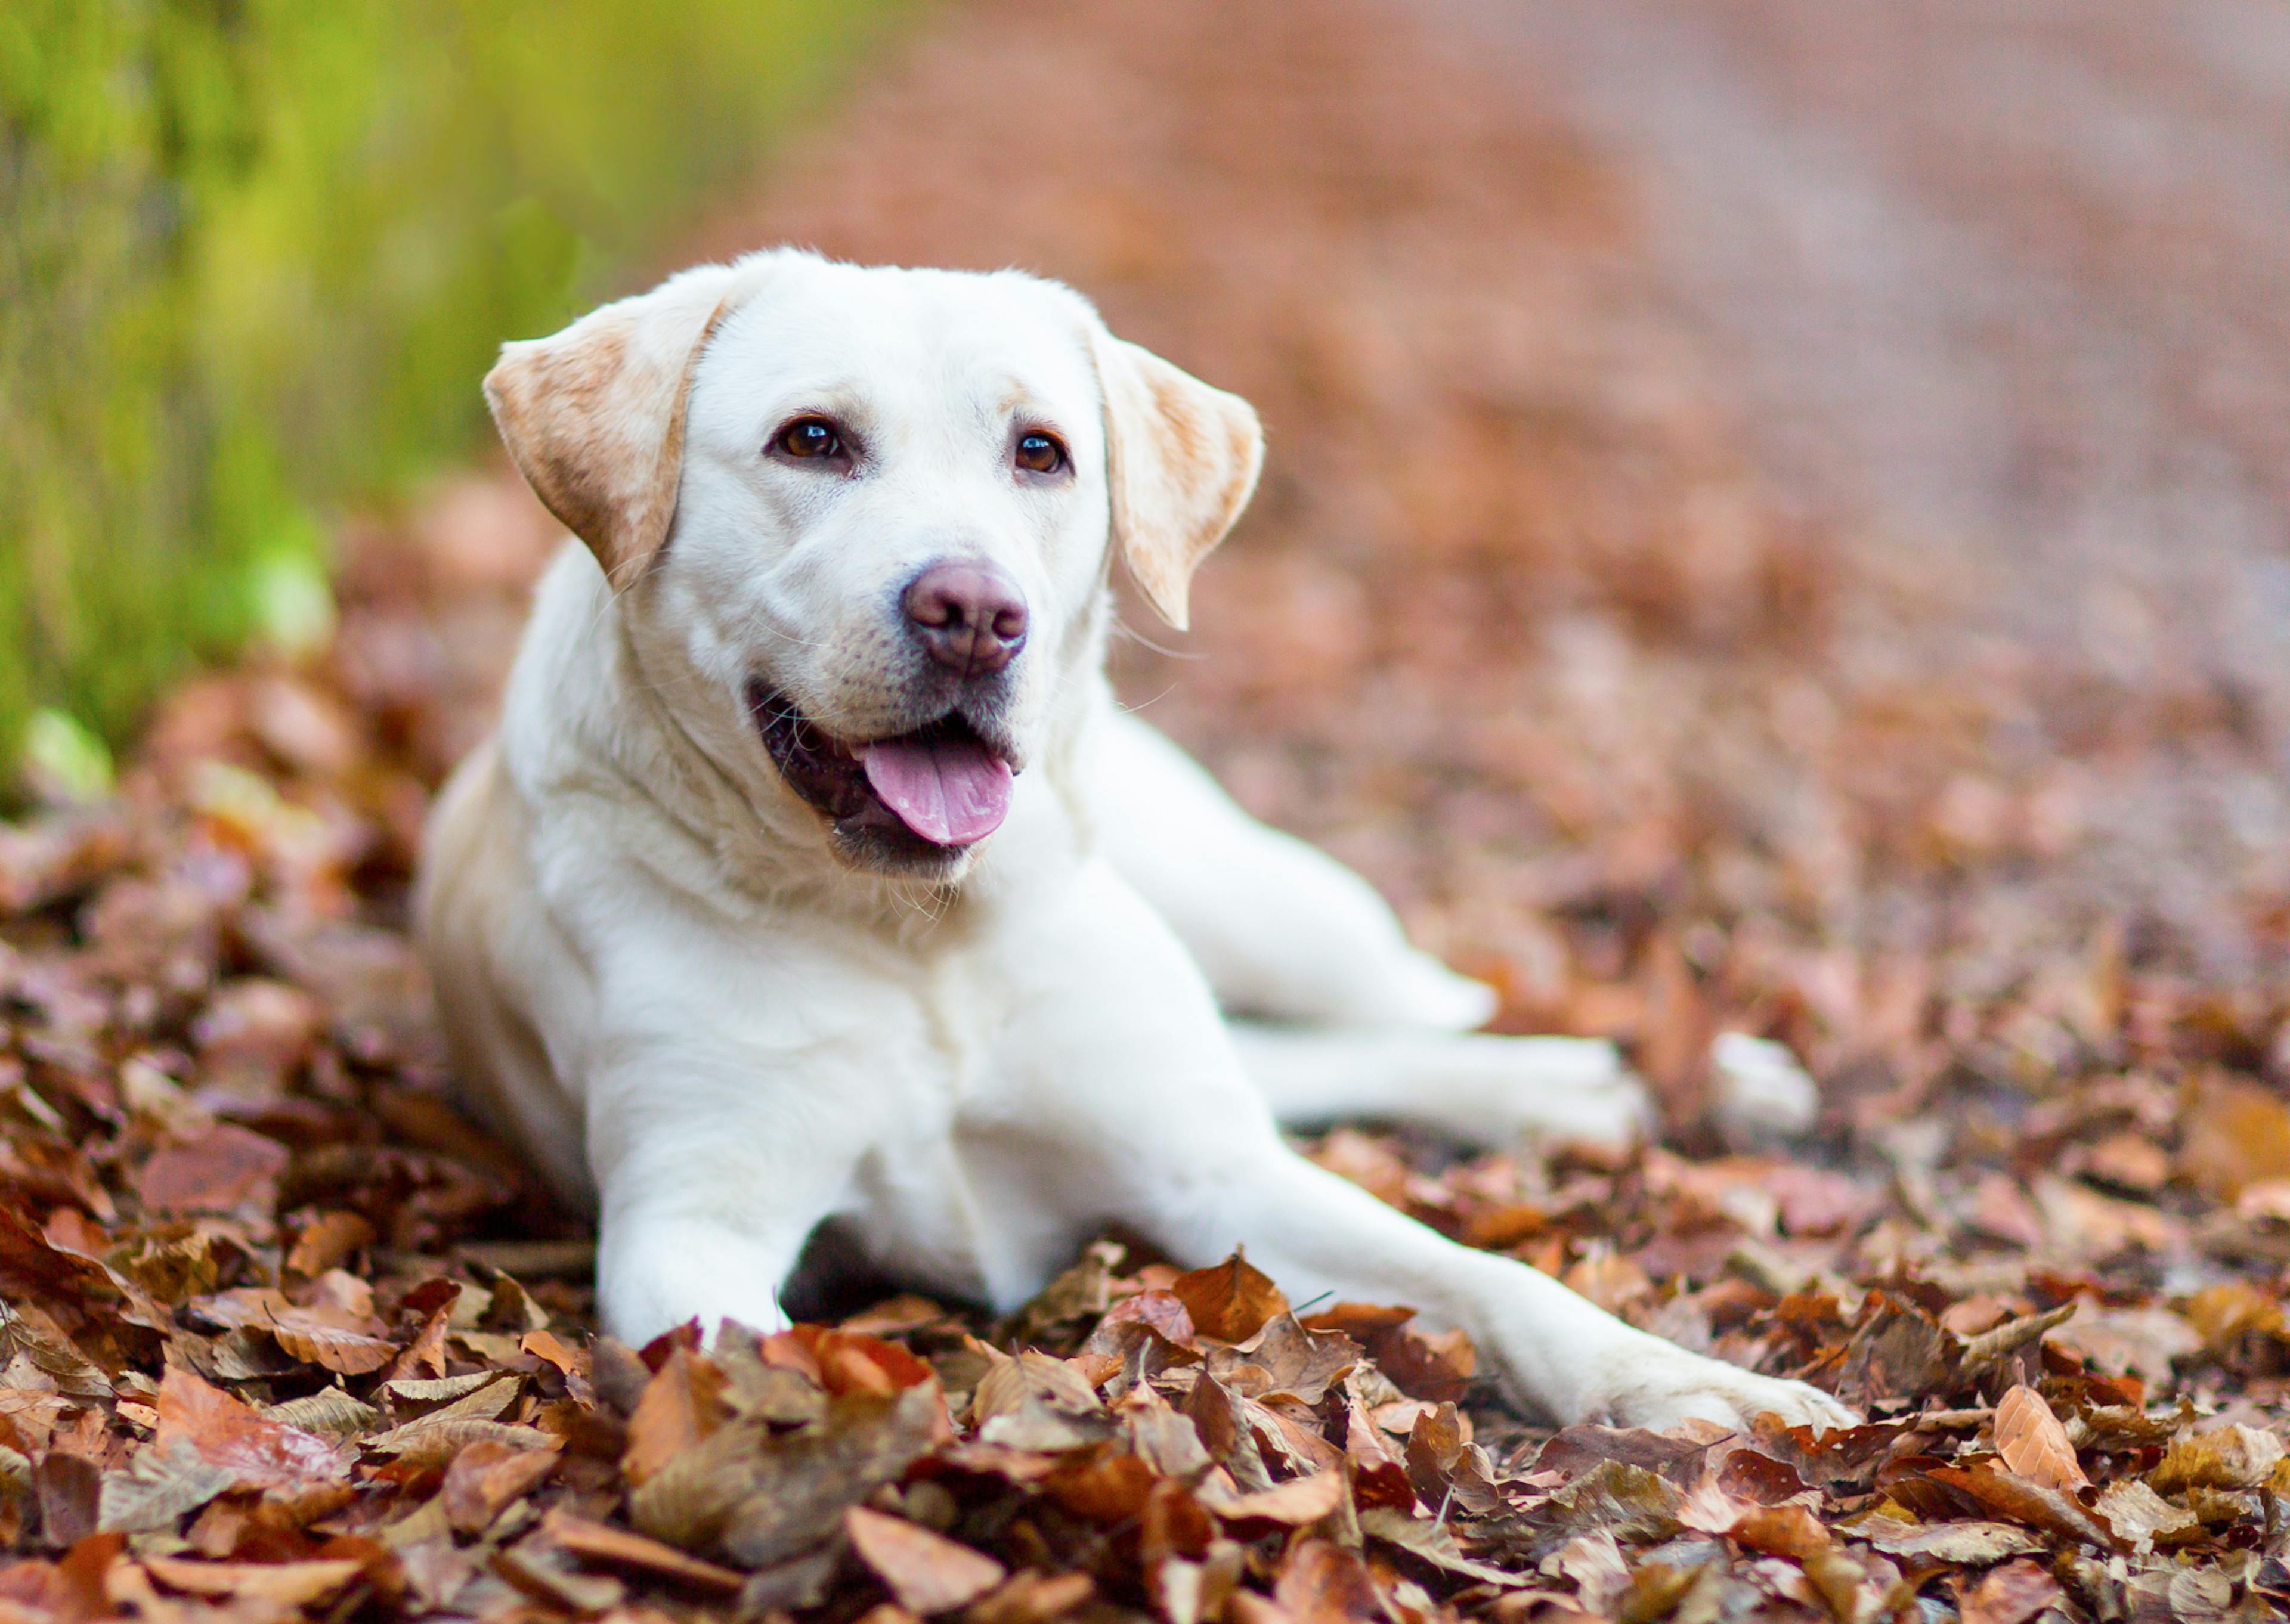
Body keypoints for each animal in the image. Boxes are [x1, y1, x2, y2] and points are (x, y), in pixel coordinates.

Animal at [421, 249, 1859, 1429]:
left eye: (1041, 452)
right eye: (811, 439)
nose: (973, 612)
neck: (920, 935)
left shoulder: (1213, 1175)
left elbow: (1488, 1273)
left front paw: (1685, 1383)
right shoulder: (690, 1225)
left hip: (1269, 908)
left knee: (1422, 1001)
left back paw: (1672, 1071)